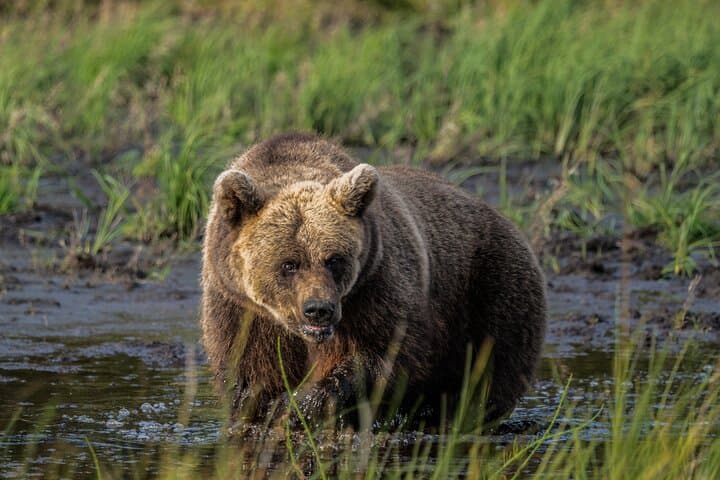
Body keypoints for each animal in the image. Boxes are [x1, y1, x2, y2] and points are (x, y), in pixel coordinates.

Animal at [201, 132, 546, 427]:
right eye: (289, 264)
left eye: (334, 259)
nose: (318, 310)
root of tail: (504, 218)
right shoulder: (239, 306)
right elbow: (249, 368)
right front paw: (263, 409)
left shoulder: (373, 286)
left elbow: (382, 354)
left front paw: (297, 405)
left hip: (490, 286)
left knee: (489, 368)